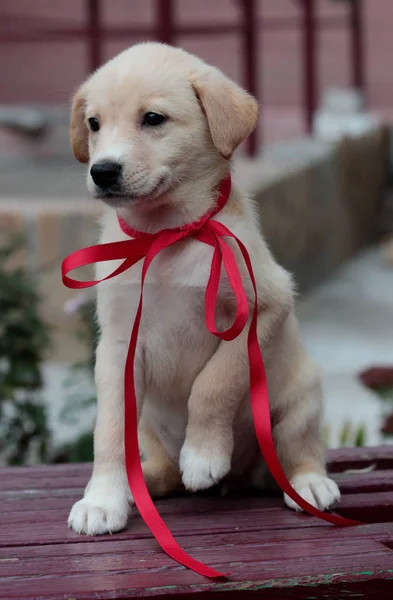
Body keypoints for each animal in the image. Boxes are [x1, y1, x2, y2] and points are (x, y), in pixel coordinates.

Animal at [66, 42, 336, 536]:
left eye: (153, 119)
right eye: (94, 124)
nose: (103, 171)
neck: (166, 234)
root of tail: (245, 475)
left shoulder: (264, 307)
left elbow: (215, 382)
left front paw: (204, 455)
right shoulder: (116, 344)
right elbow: (109, 428)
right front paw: (102, 500)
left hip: (301, 399)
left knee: (298, 449)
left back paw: (307, 484)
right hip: (149, 424)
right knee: (162, 467)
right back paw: (145, 482)